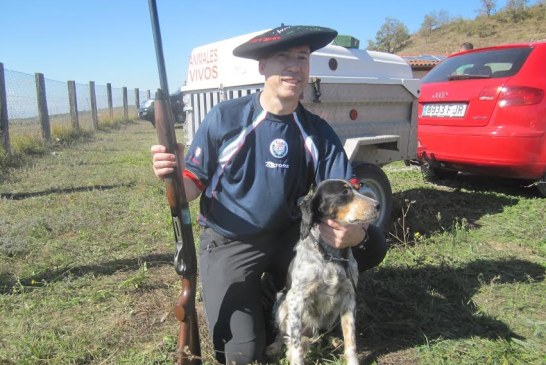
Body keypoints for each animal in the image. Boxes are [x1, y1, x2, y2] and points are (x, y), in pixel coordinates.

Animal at [266, 178, 378, 364]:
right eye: (344, 192)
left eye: (358, 188)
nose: (377, 205)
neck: (331, 256)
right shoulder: (296, 299)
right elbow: (295, 344)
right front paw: (294, 357)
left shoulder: (349, 297)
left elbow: (351, 339)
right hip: (282, 303)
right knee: (283, 334)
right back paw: (275, 346)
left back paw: (334, 340)